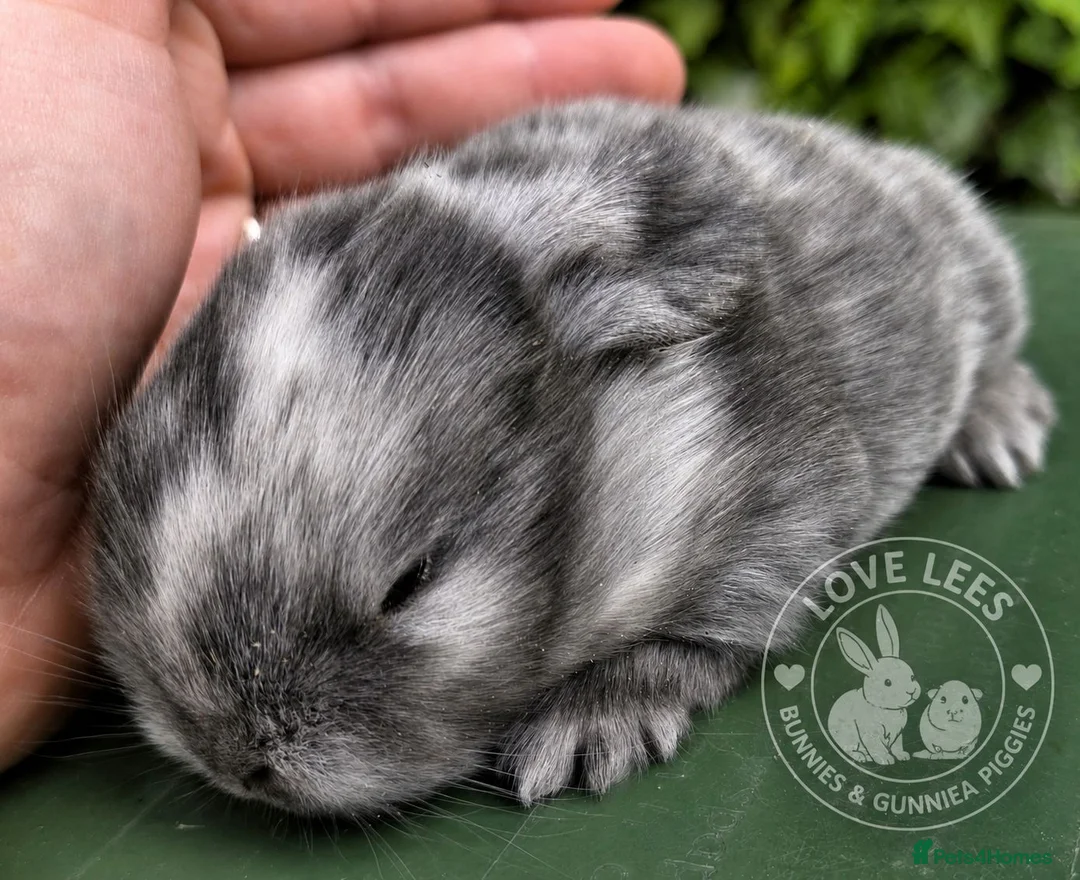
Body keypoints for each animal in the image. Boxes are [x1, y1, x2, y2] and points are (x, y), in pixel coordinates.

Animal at [827, 606, 921, 765]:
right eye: (887, 682)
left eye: (912, 677)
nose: (911, 691)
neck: (886, 709)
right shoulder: (871, 734)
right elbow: (878, 748)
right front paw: (886, 760)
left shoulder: (897, 735)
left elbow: (897, 746)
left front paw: (902, 756)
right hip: (849, 736)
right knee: (849, 749)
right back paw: (861, 757)